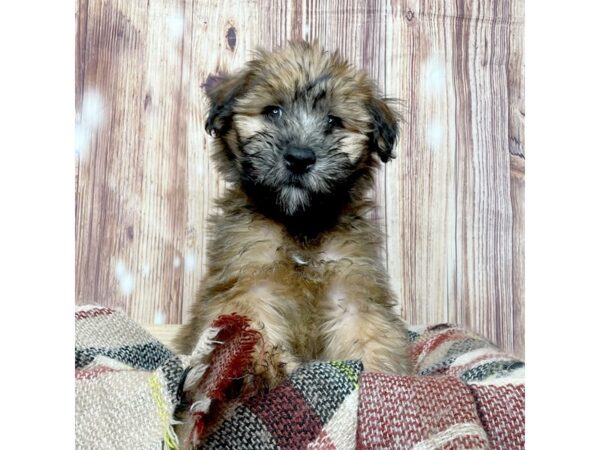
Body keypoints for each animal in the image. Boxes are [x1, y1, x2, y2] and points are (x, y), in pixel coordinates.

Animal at [175, 40, 412, 388]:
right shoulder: (249, 280)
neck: (300, 223)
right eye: (273, 111)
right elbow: (250, 321)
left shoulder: (352, 288)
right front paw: (258, 365)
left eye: (333, 121)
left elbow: (367, 334)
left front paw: (380, 376)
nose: (299, 158)